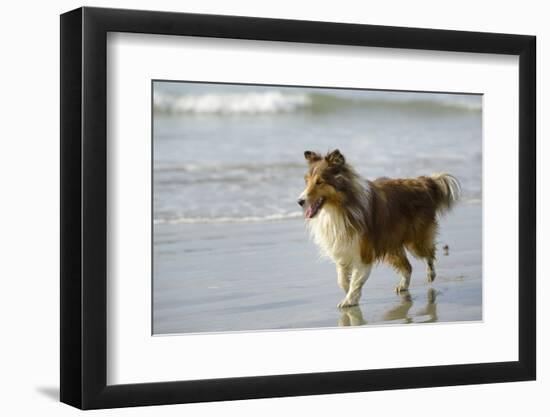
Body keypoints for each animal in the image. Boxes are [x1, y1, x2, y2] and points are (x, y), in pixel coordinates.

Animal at [298, 149, 462, 306]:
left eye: (319, 182)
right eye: (307, 181)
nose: (299, 201)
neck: (339, 208)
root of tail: (424, 182)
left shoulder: (363, 252)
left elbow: (356, 280)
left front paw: (349, 300)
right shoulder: (342, 249)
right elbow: (342, 279)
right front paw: (348, 292)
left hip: (415, 241)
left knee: (429, 254)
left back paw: (430, 274)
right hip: (391, 245)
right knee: (408, 267)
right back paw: (403, 286)